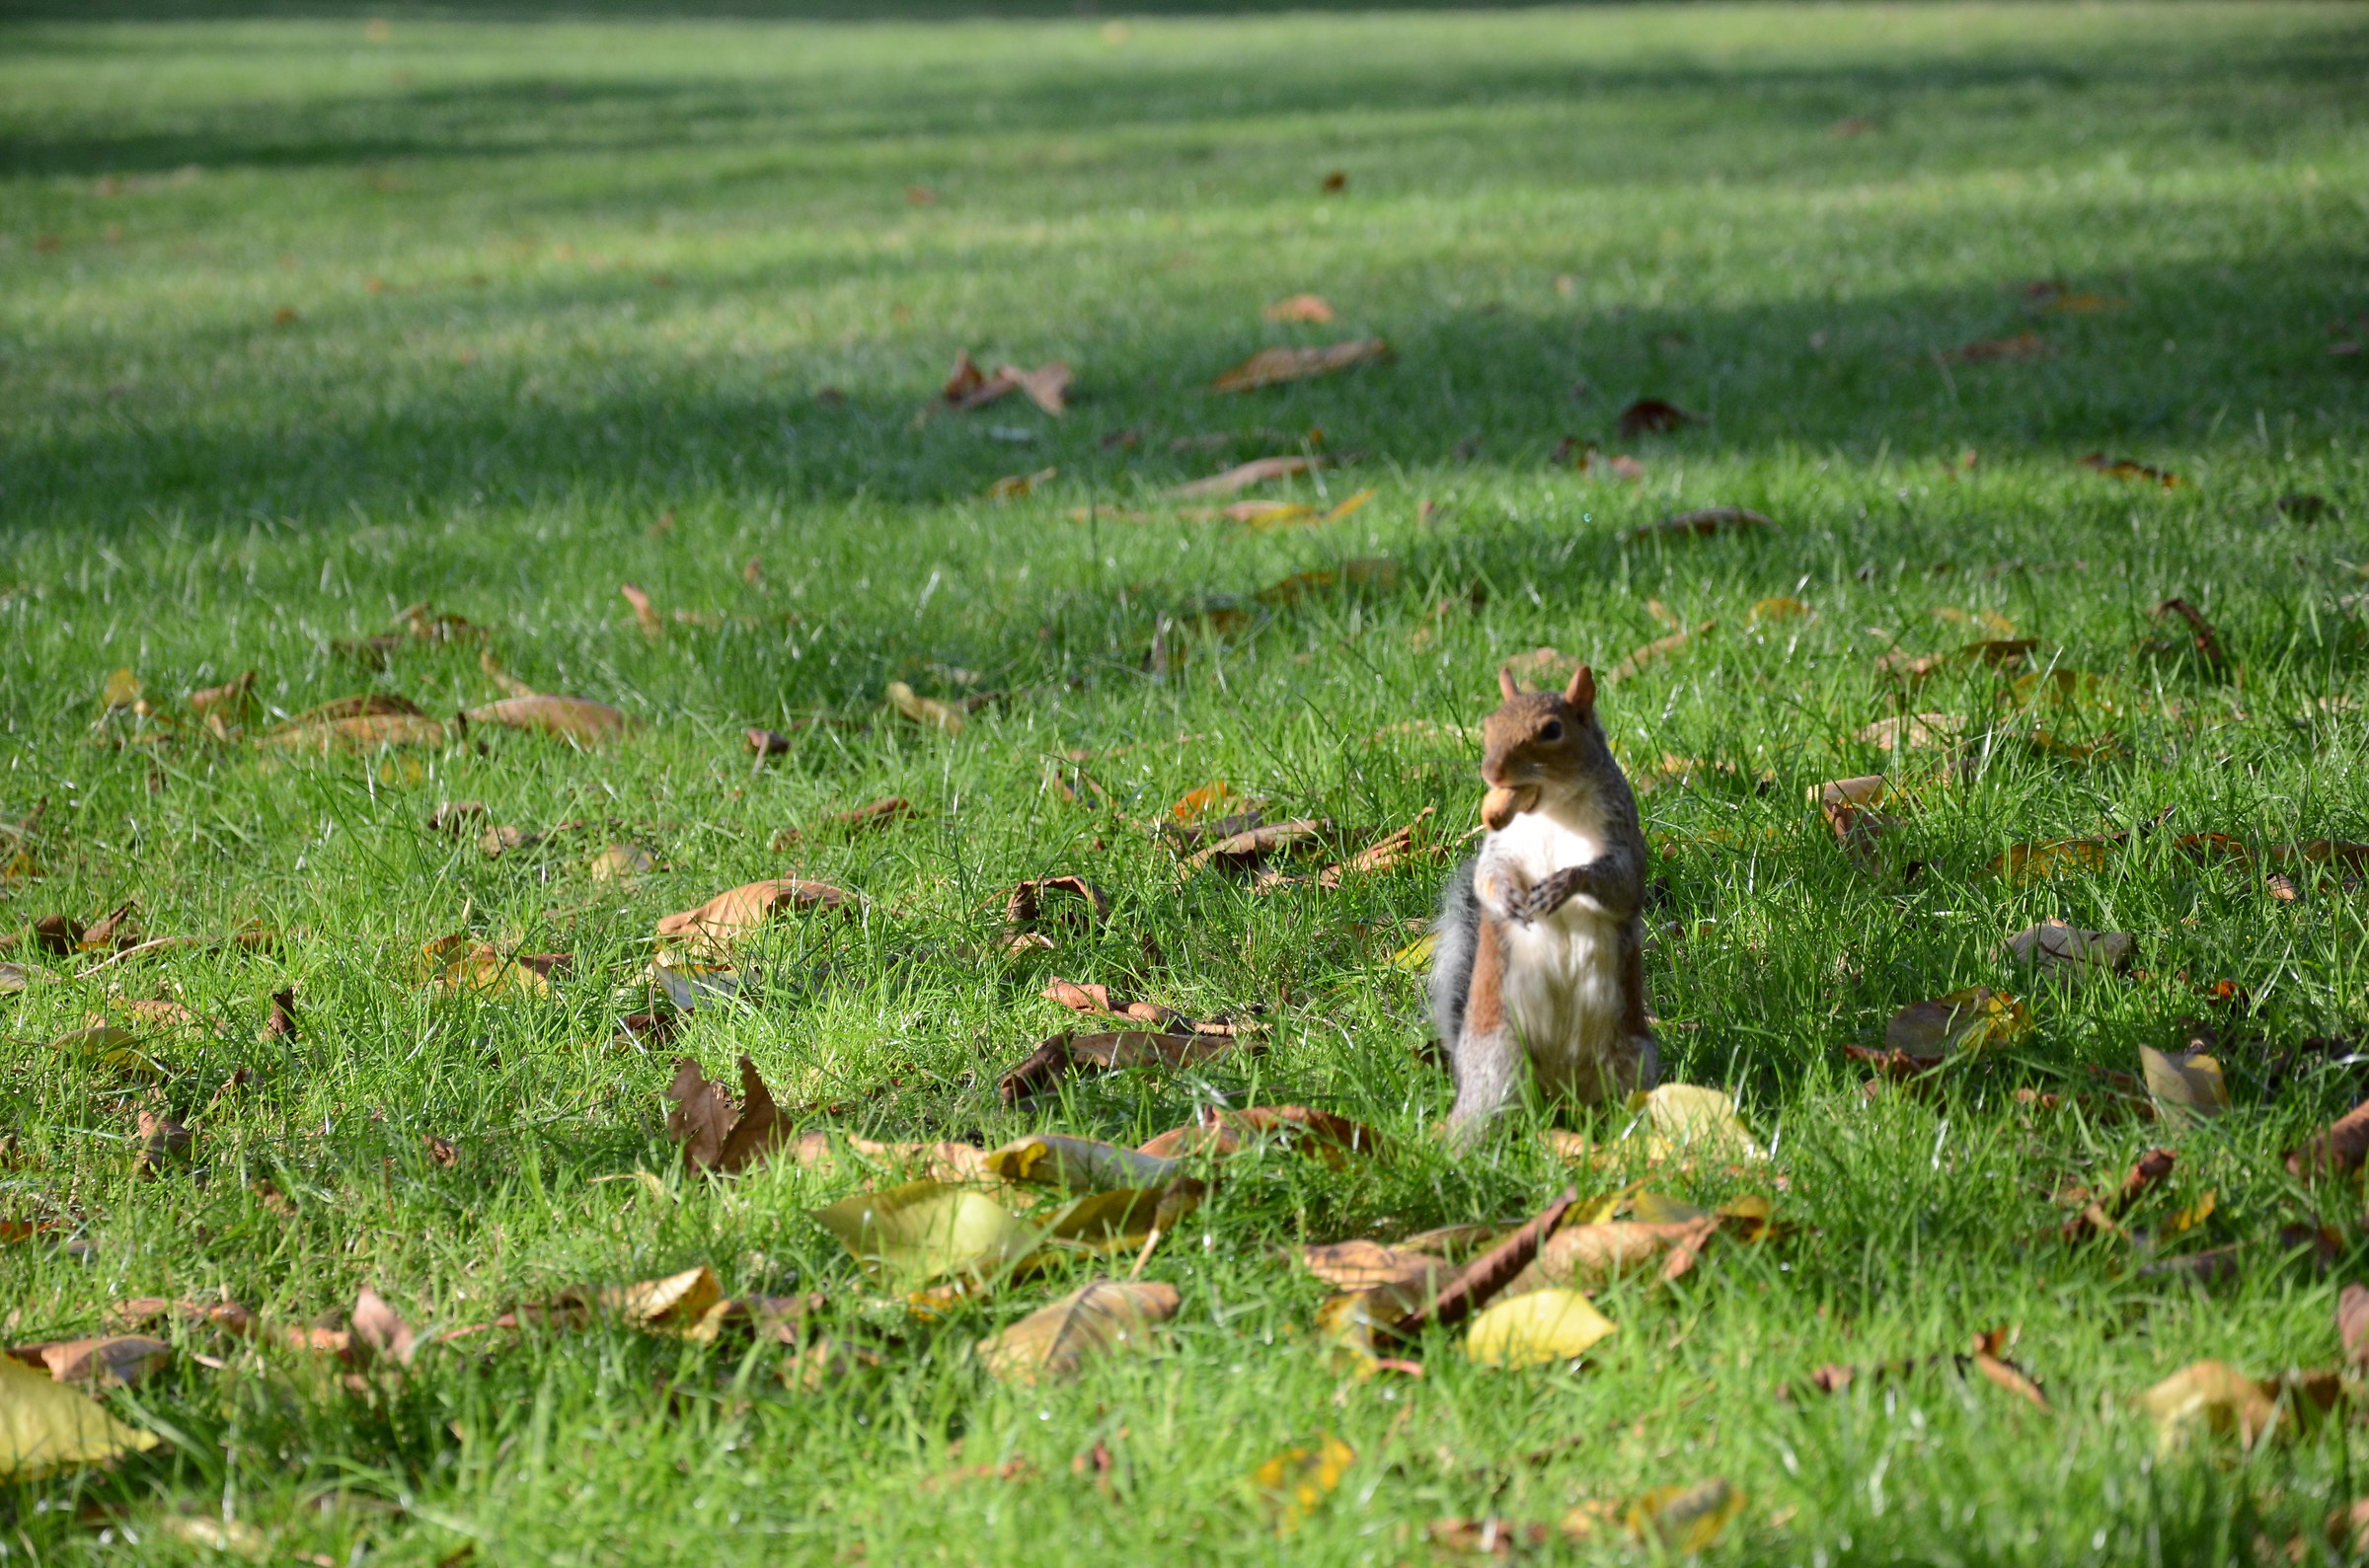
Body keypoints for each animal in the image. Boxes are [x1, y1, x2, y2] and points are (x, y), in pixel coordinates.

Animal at [1427, 662, 1660, 1143]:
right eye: (1490, 724)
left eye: (1553, 730)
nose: (1492, 772)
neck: (1551, 809)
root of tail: (1558, 1095)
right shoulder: (1500, 846)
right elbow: (1487, 878)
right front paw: (1508, 900)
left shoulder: (1622, 838)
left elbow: (1622, 884)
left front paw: (1565, 884)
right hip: (1497, 1058)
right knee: (1486, 1111)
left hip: (1632, 1060)